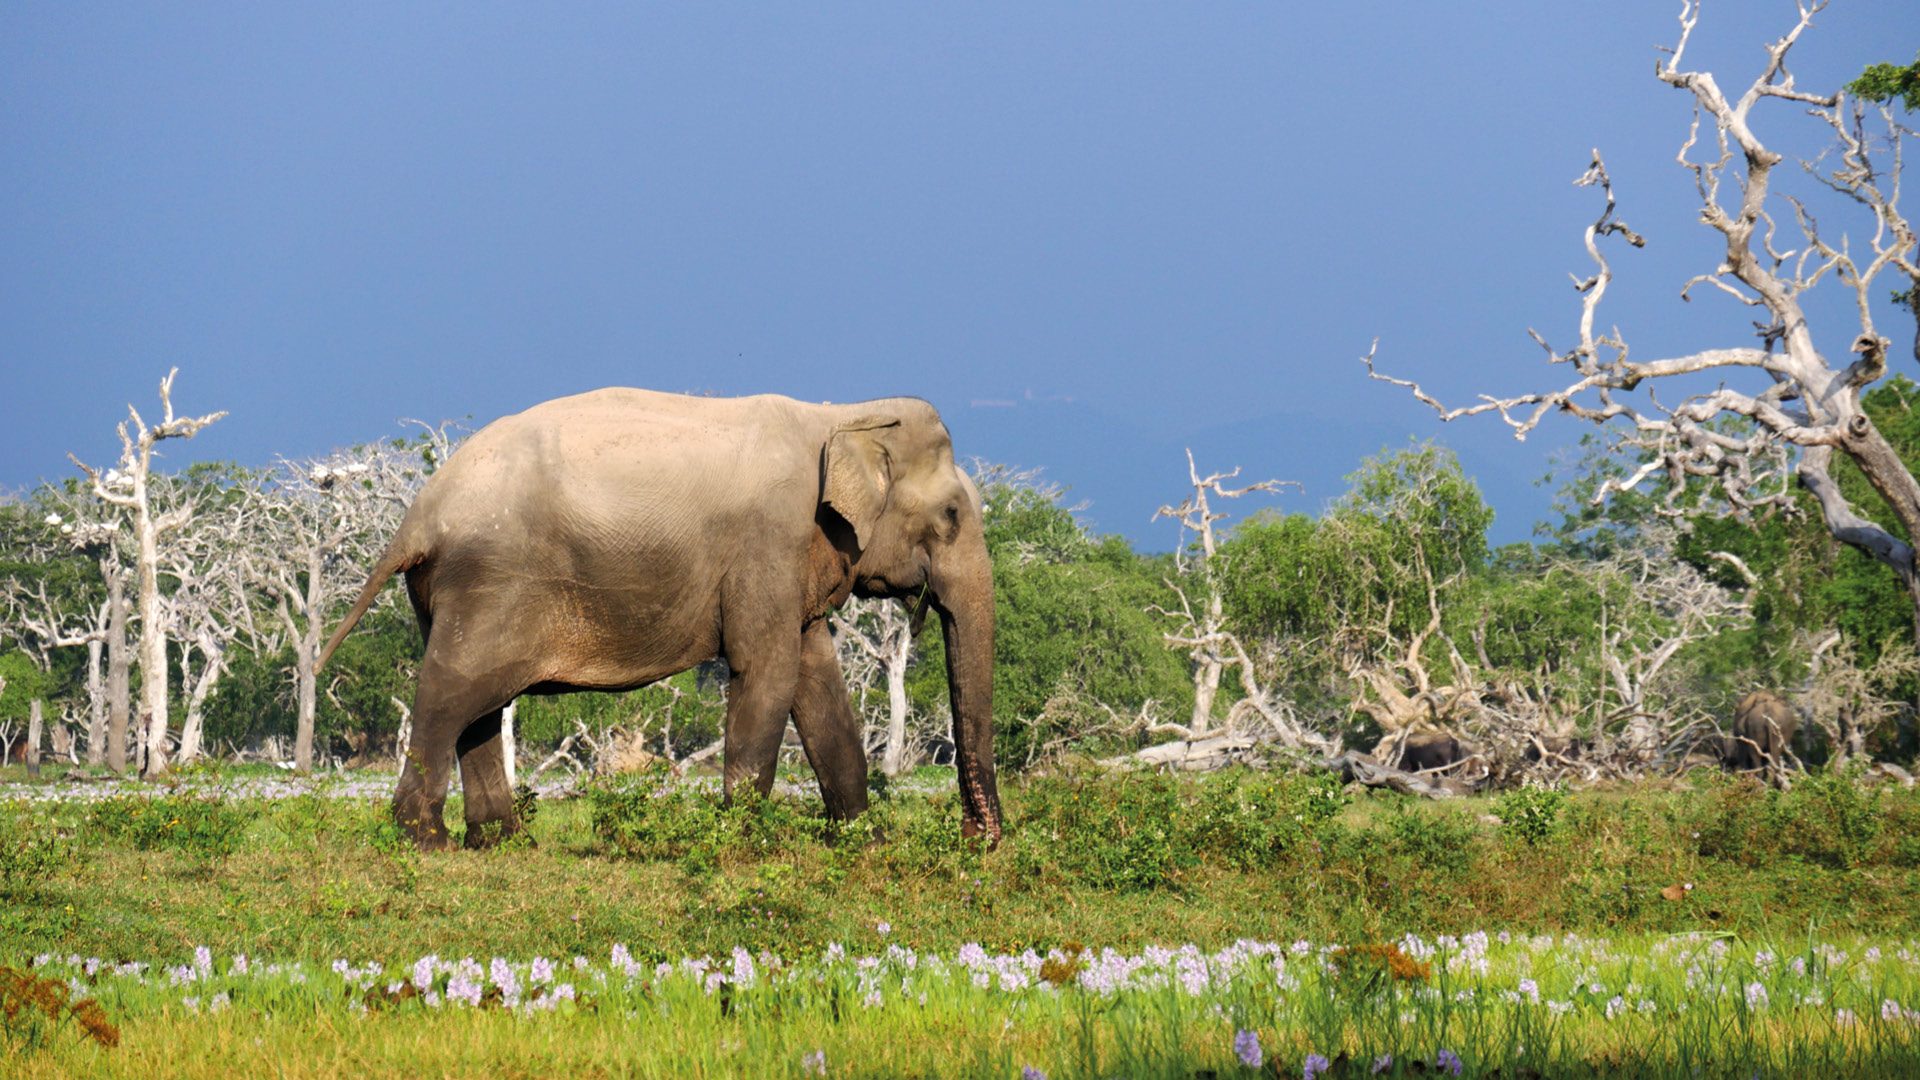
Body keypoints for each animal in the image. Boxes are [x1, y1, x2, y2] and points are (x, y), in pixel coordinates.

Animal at [318, 386, 1006, 849]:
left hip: (454, 593)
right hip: (490, 583)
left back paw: (505, 844)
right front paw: (746, 845)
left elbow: (817, 683)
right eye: (951, 515)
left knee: (480, 708)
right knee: (452, 695)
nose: (977, 840)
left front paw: (862, 842)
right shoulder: (768, 541)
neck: (842, 413)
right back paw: (425, 843)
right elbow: (767, 672)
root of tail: (419, 514)